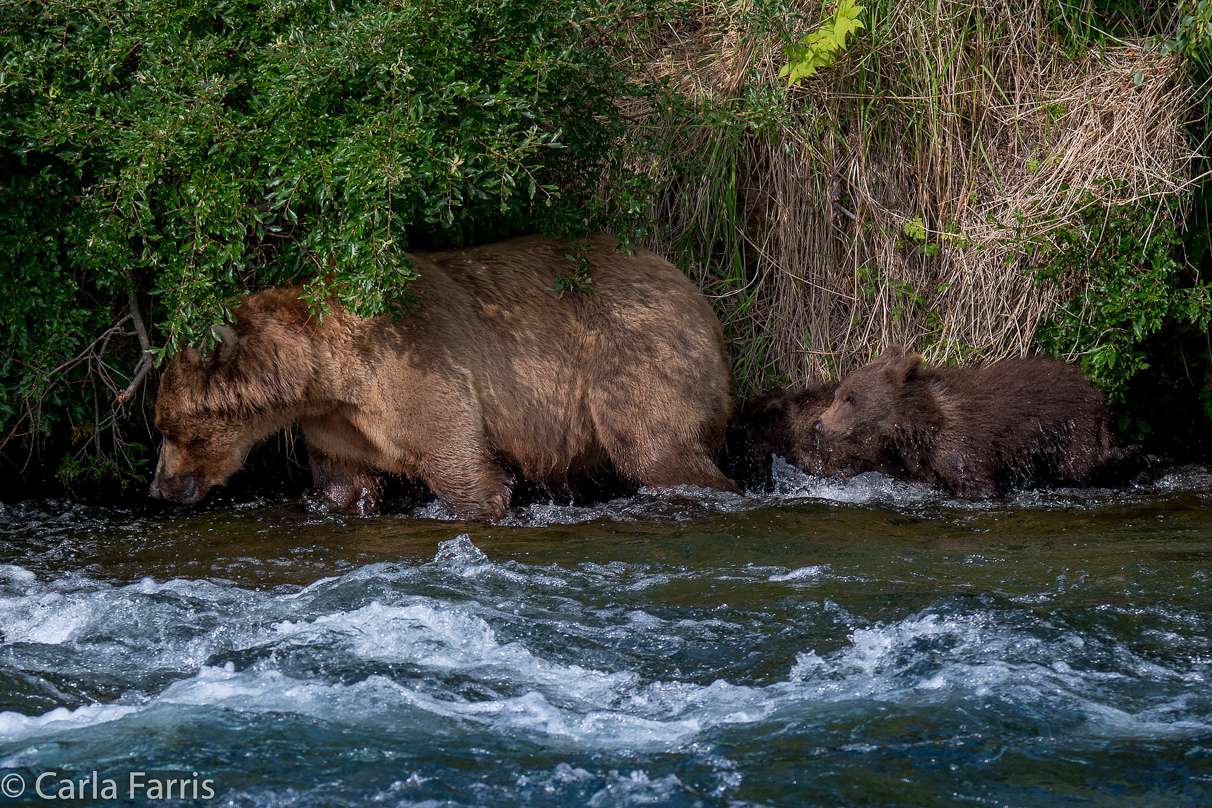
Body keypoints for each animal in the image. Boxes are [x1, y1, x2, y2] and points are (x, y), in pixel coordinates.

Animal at [151, 235, 736, 525]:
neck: (332, 372)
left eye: (167, 427)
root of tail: (699, 297)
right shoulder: (338, 422)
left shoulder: (419, 364)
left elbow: (462, 466)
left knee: (655, 446)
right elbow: (344, 483)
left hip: (634, 351)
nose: (160, 487)